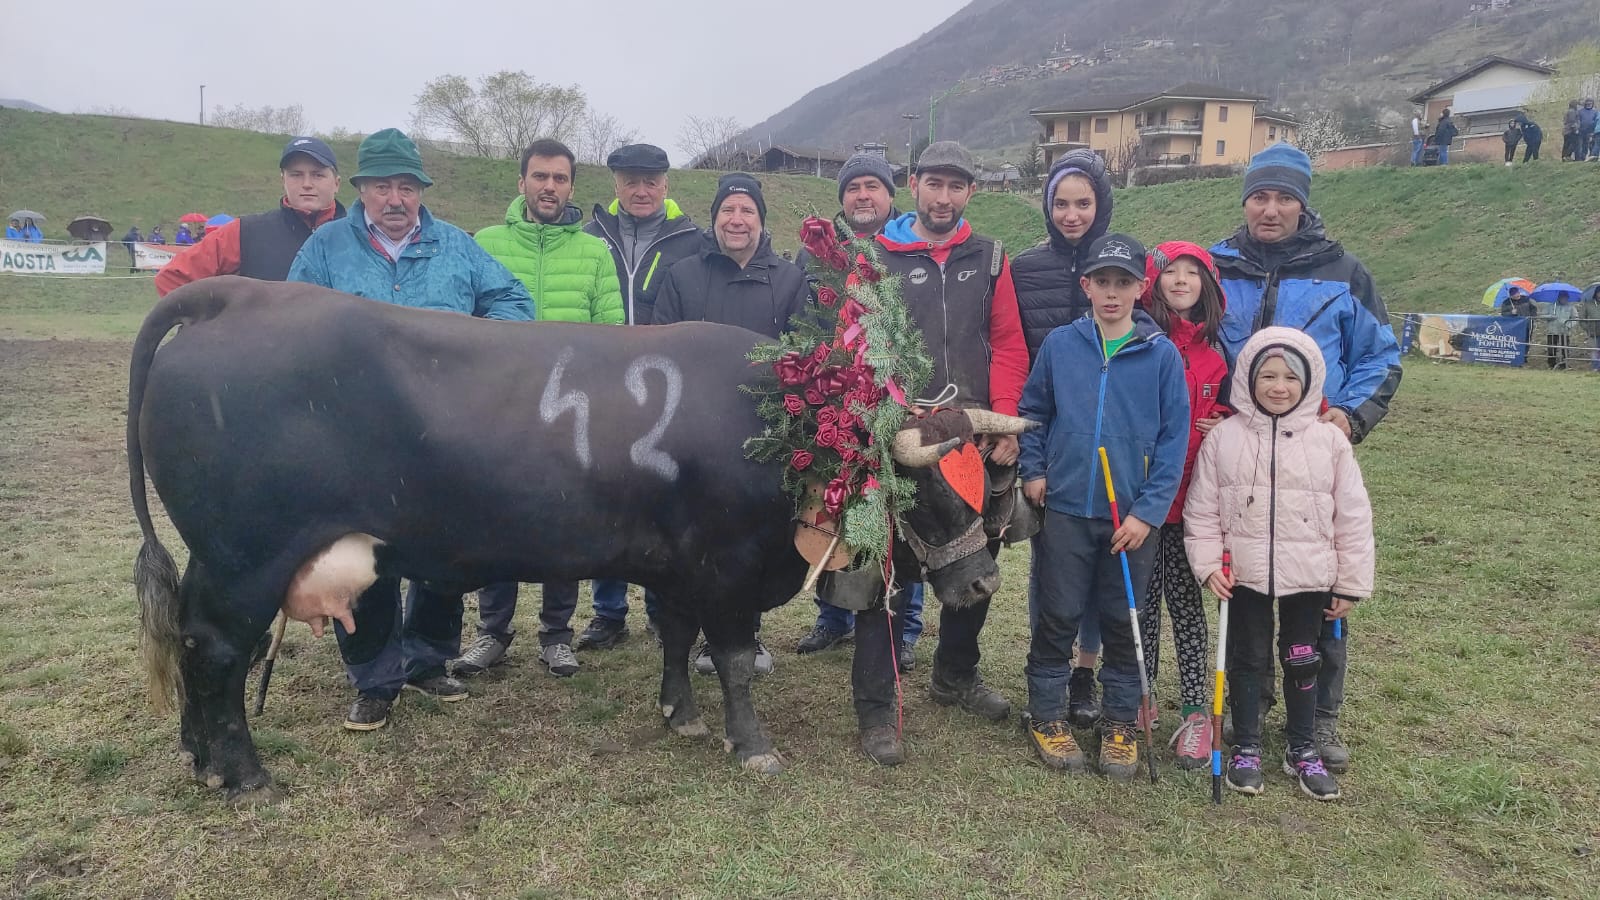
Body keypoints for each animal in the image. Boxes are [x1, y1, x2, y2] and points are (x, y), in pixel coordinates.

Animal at [121, 277, 1024, 794]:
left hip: (221, 560)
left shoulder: (675, 567)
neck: (786, 422)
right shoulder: (726, 570)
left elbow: (676, 638)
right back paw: (244, 775)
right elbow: (733, 659)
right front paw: (753, 746)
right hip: (246, 558)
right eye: (923, 486)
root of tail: (241, 295)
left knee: (196, 646)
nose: (983, 581)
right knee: (217, 652)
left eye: (980, 477)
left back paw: (200, 758)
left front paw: (679, 714)